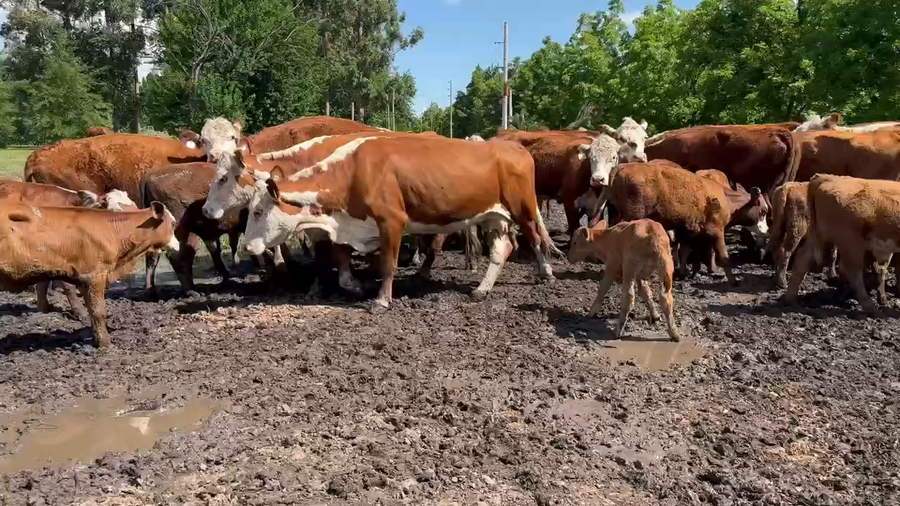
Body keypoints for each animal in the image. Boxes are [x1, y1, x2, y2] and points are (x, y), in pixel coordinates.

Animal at [0, 201, 179, 347]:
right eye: (173, 223)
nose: (178, 245)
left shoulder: (82, 279)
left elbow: (91, 311)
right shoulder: (94, 276)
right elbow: (98, 311)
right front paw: (105, 344)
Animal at [241, 136, 560, 309]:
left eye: (258, 212)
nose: (245, 247)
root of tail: (512, 147)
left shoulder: (391, 221)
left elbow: (388, 264)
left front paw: (382, 300)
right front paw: (356, 287)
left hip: (522, 208)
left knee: (534, 238)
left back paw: (545, 272)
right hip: (492, 215)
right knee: (502, 249)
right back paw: (482, 288)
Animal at [784, 175, 900, 315]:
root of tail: (827, 177)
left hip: (820, 236)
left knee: (802, 260)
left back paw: (791, 300)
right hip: (851, 243)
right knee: (853, 271)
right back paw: (870, 307)